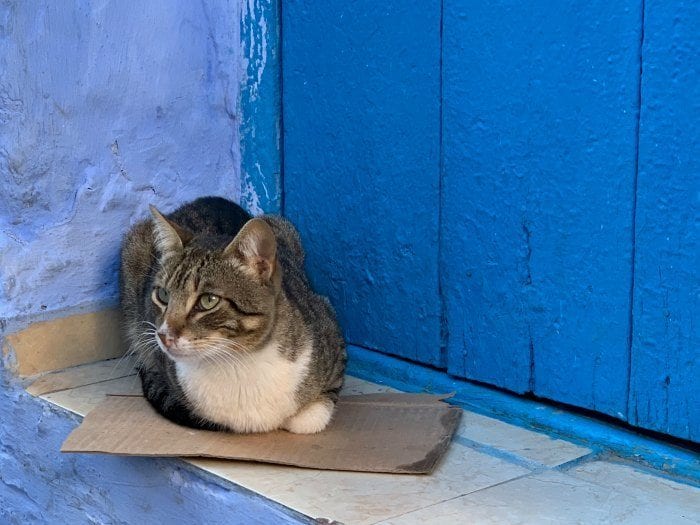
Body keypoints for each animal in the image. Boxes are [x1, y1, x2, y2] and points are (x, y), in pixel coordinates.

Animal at [121, 196, 348, 434]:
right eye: (163, 295)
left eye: (208, 300)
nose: (163, 336)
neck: (237, 362)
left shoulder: (332, 332)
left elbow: (311, 418)